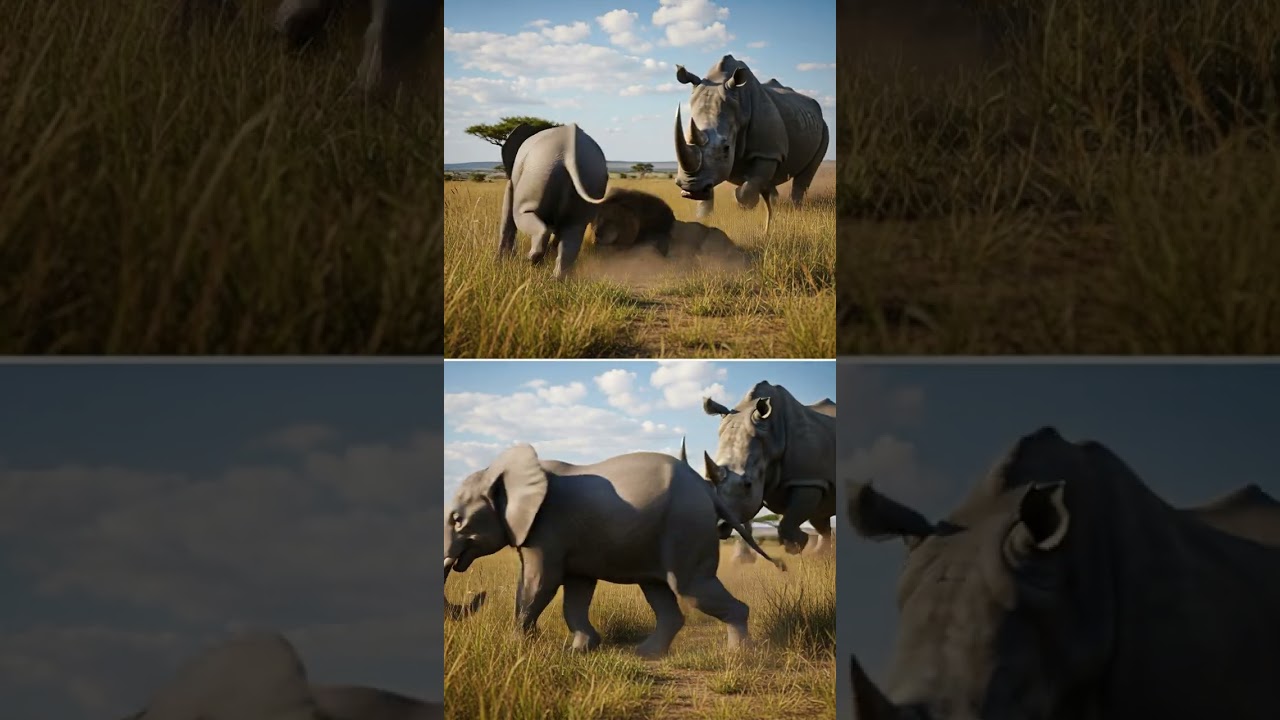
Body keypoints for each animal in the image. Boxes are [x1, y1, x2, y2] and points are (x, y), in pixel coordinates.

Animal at [443, 444, 784, 658]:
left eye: (457, 519)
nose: (480, 595)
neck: (499, 471)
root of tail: (708, 491)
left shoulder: (545, 529)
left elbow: (540, 583)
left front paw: (516, 647)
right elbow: (575, 591)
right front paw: (579, 650)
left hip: (686, 525)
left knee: (691, 589)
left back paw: (739, 657)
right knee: (660, 590)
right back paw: (646, 654)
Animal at [498, 123, 610, 278]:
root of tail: (569, 153)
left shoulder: (513, 180)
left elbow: (507, 211)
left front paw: (500, 262)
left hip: (538, 173)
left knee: (525, 216)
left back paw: (530, 261)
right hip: (590, 176)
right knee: (573, 231)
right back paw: (555, 278)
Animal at [673, 54, 829, 233]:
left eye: (726, 148)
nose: (691, 190)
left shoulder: (768, 152)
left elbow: (750, 186)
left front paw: (741, 203)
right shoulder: (708, 172)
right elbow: (710, 187)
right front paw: (703, 217)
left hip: (824, 128)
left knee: (805, 175)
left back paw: (796, 210)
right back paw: (776, 205)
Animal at [703, 381, 837, 560]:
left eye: (748, 484)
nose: (718, 526)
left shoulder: (809, 480)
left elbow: (788, 522)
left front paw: (798, 544)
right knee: (821, 517)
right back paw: (822, 556)